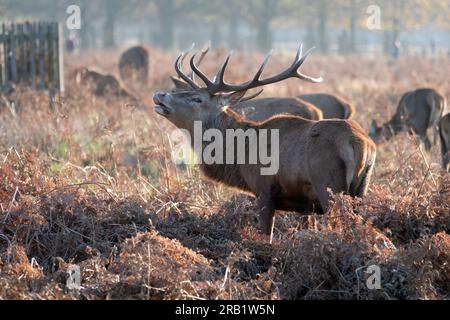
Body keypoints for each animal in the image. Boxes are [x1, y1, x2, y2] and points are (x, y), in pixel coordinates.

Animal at [153, 46, 378, 241]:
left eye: (197, 98)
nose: (159, 94)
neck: (241, 157)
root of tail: (360, 143)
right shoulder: (306, 205)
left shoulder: (264, 190)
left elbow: (265, 236)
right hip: (361, 188)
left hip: (329, 185)